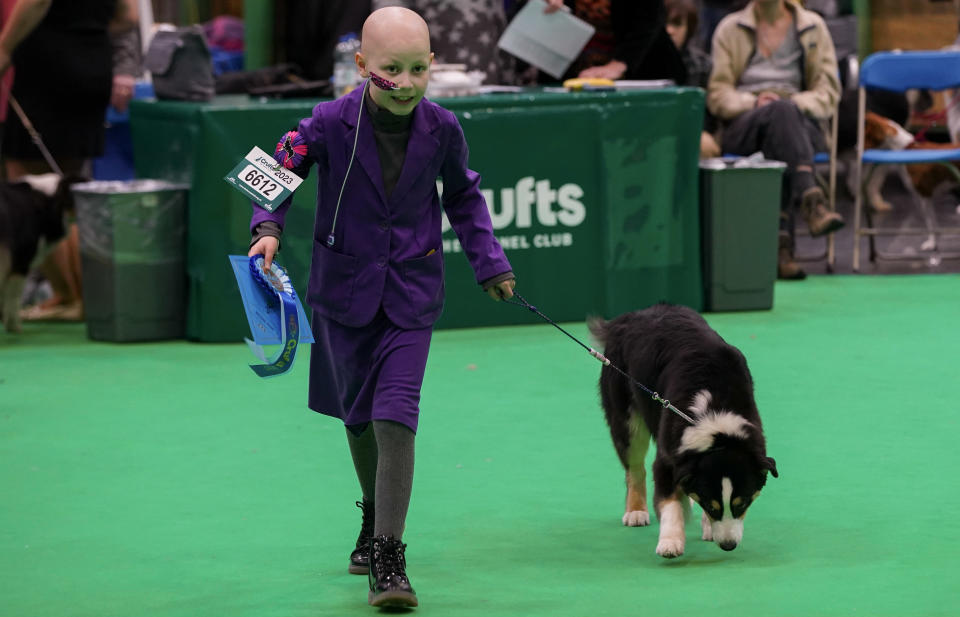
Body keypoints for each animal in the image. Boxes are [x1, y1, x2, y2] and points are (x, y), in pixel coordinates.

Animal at [584, 304, 780, 560]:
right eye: (711, 505)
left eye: (743, 503)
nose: (728, 545)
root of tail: (633, 315)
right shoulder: (668, 457)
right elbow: (669, 503)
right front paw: (671, 542)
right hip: (626, 417)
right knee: (635, 468)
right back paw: (636, 511)